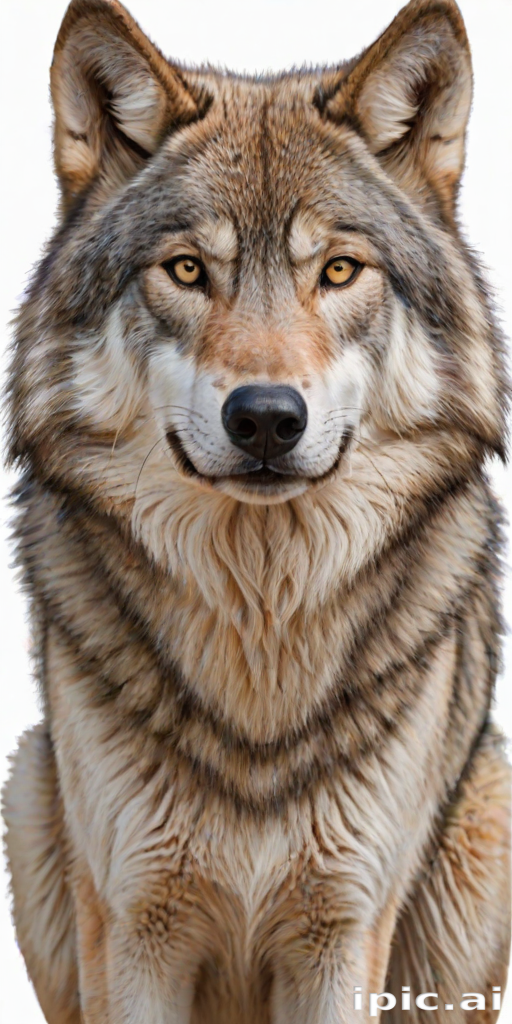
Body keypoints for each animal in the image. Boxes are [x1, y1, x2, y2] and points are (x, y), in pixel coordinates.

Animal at [2, 0, 510, 1021]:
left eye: (341, 270)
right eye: (188, 269)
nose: (268, 418)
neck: (260, 638)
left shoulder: (343, 931)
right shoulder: (133, 926)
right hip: (33, 792)